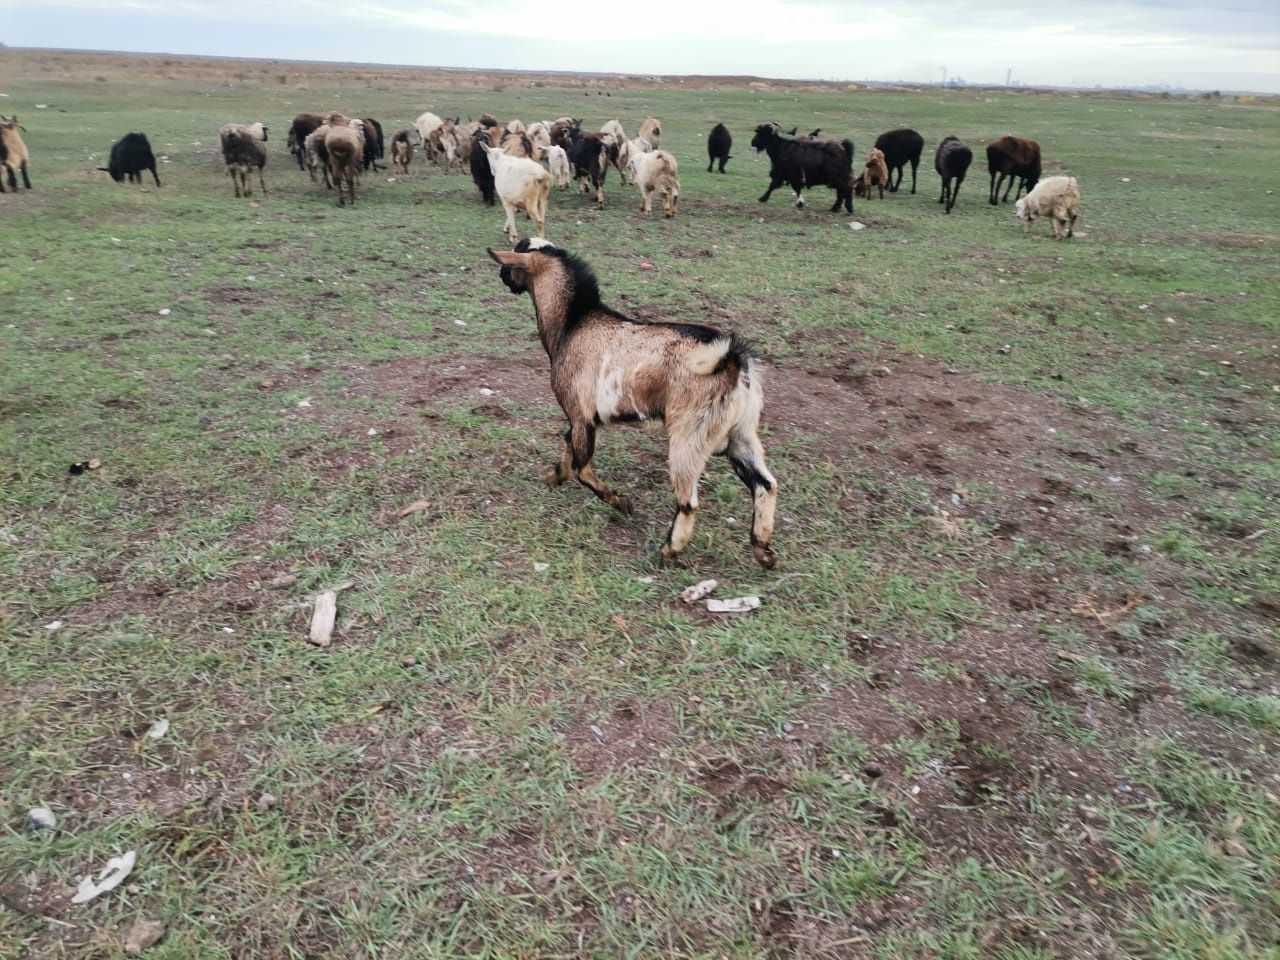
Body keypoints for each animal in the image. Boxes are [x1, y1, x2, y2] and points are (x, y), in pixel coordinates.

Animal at [483, 239, 773, 568]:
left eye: (513, 260)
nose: (502, 276)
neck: (573, 323)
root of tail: (732, 360)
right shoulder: (581, 418)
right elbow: (568, 450)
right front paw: (554, 477)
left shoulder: (580, 415)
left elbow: (582, 469)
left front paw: (621, 502)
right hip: (741, 433)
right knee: (765, 484)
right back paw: (763, 551)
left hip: (690, 436)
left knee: (688, 502)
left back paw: (668, 550)